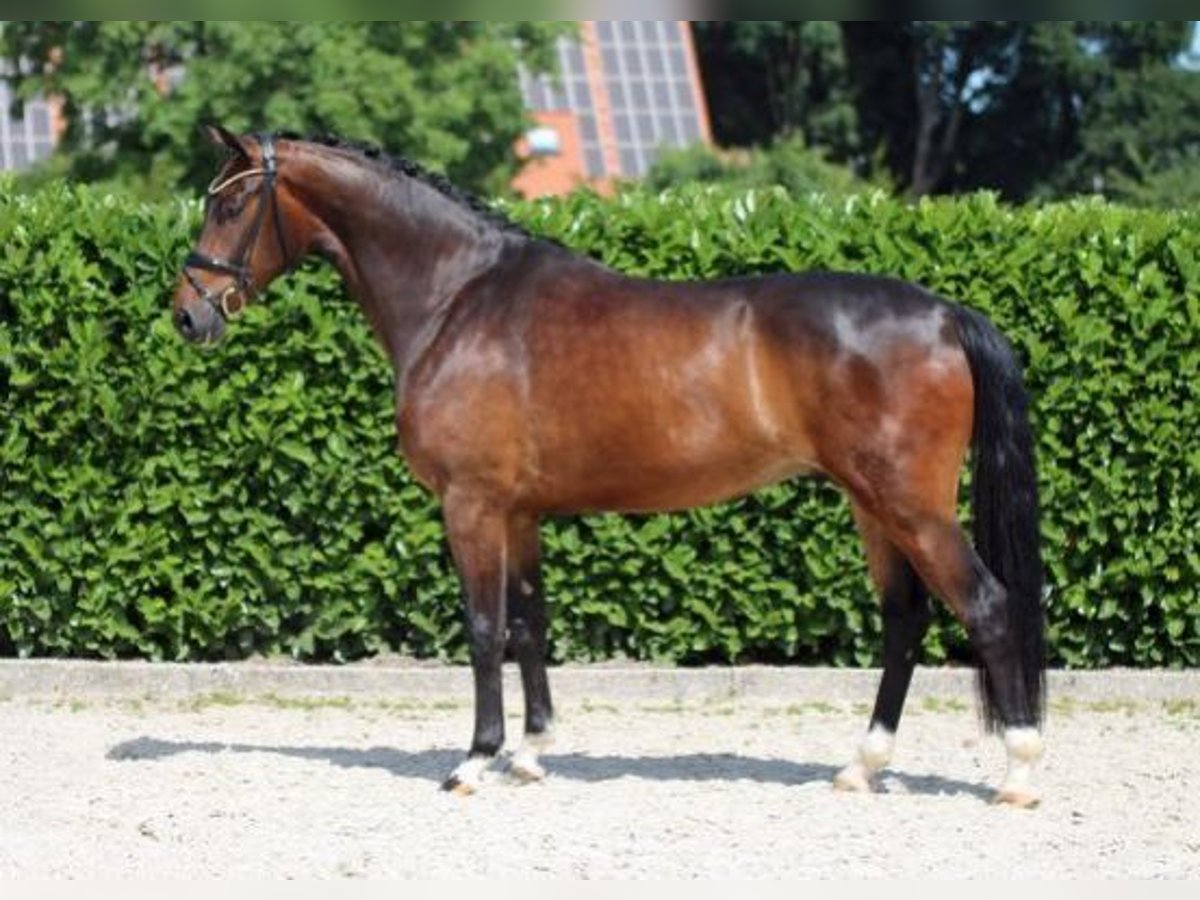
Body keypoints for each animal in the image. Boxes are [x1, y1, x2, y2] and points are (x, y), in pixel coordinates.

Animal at [174, 127, 1046, 811]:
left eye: (230, 205)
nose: (188, 314)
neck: (458, 297)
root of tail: (945, 314)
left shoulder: (471, 505)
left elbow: (484, 628)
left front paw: (474, 760)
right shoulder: (520, 513)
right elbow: (529, 624)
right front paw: (530, 753)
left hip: (911, 506)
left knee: (989, 607)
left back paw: (1019, 771)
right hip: (873, 504)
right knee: (904, 621)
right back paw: (862, 767)